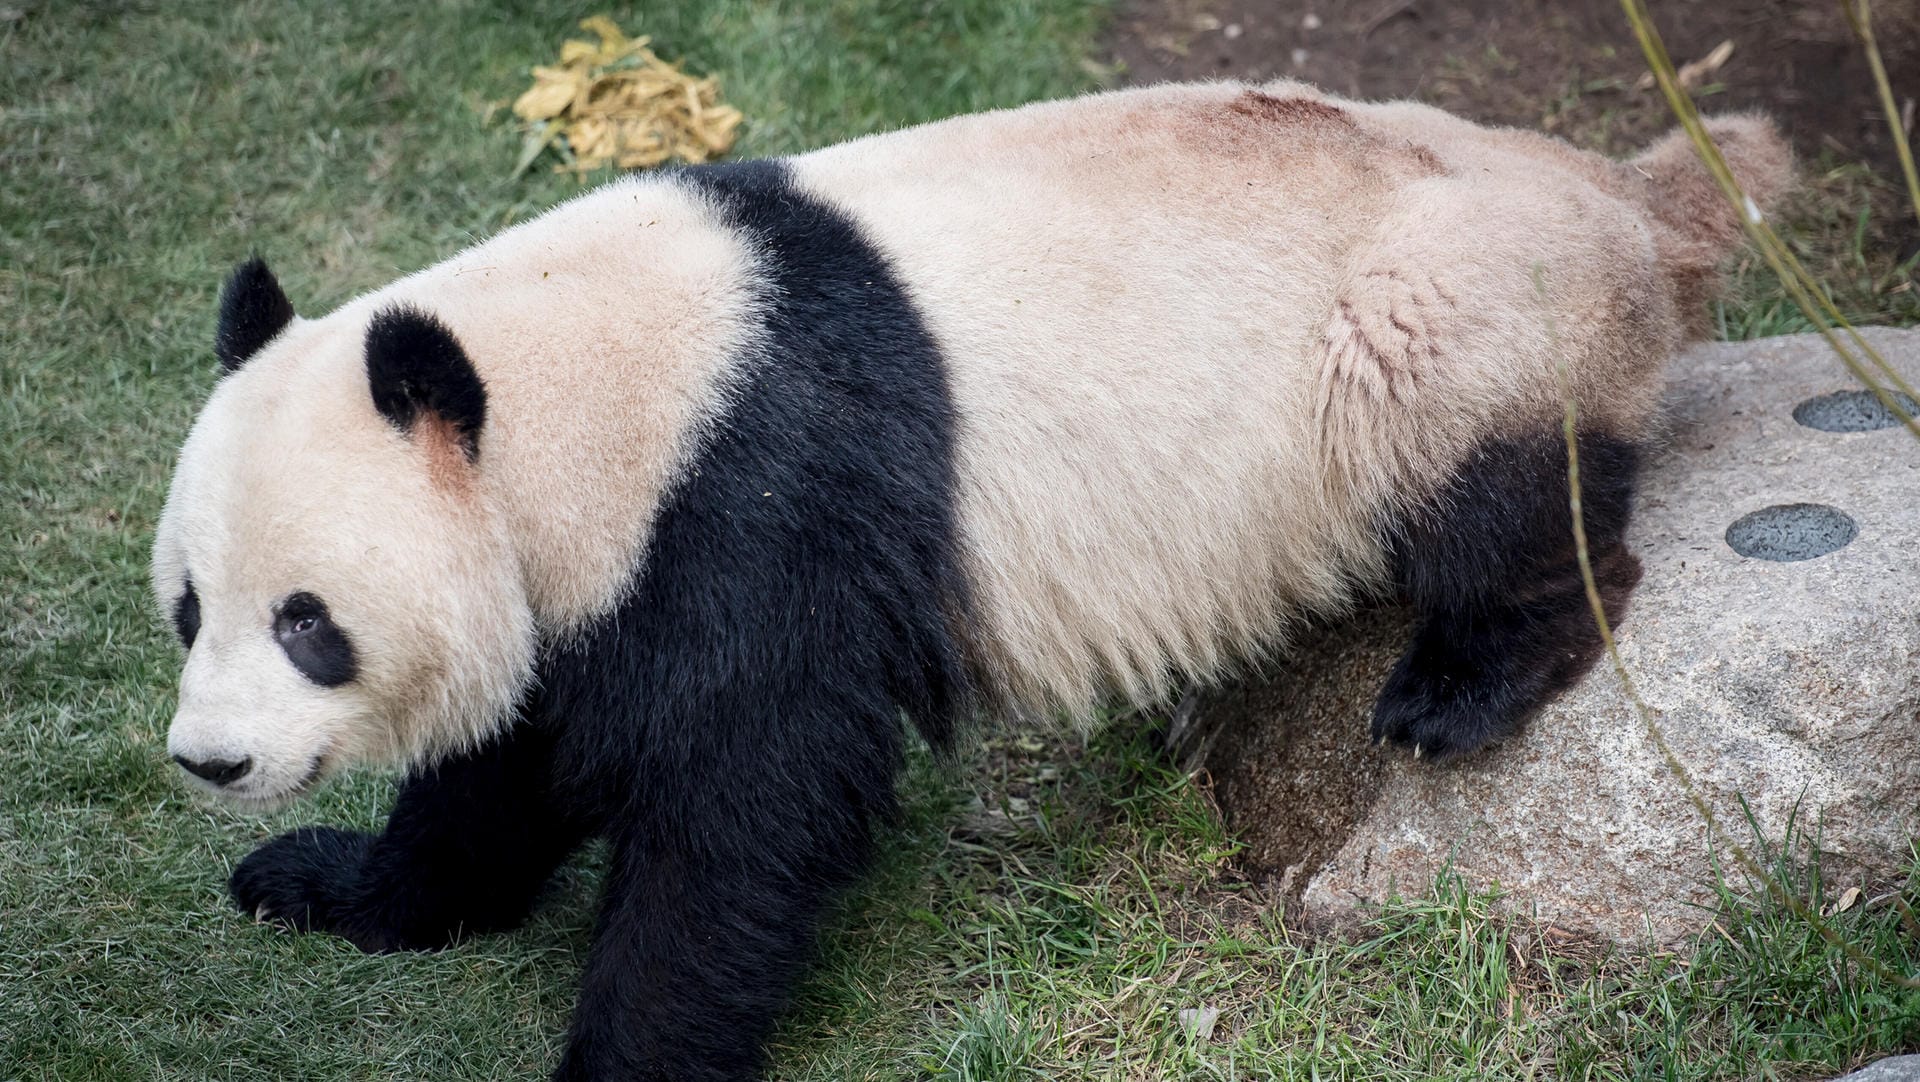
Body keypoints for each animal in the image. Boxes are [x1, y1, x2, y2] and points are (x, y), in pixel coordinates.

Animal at [157, 82, 1789, 1082]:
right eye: (189, 604)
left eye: (309, 624)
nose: (210, 761)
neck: (596, 379)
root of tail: (1626, 192)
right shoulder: (606, 566)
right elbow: (516, 759)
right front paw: (329, 884)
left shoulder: (756, 502)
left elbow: (746, 803)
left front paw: (629, 1052)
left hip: (1449, 311)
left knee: (1495, 478)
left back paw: (1466, 680)